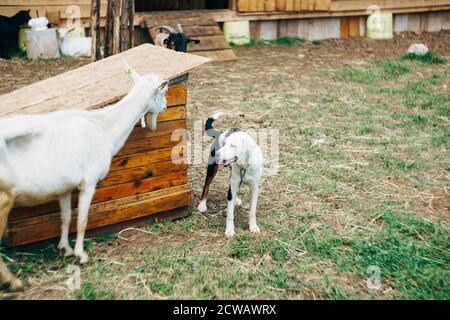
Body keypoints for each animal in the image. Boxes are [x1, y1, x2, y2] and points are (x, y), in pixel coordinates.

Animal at [0, 62, 168, 290]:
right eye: (164, 91)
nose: (166, 107)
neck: (104, 127)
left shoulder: (64, 186)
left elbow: (66, 217)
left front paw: (65, 248)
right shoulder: (89, 182)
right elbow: (82, 219)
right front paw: (81, 255)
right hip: (3, 198)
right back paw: (13, 281)